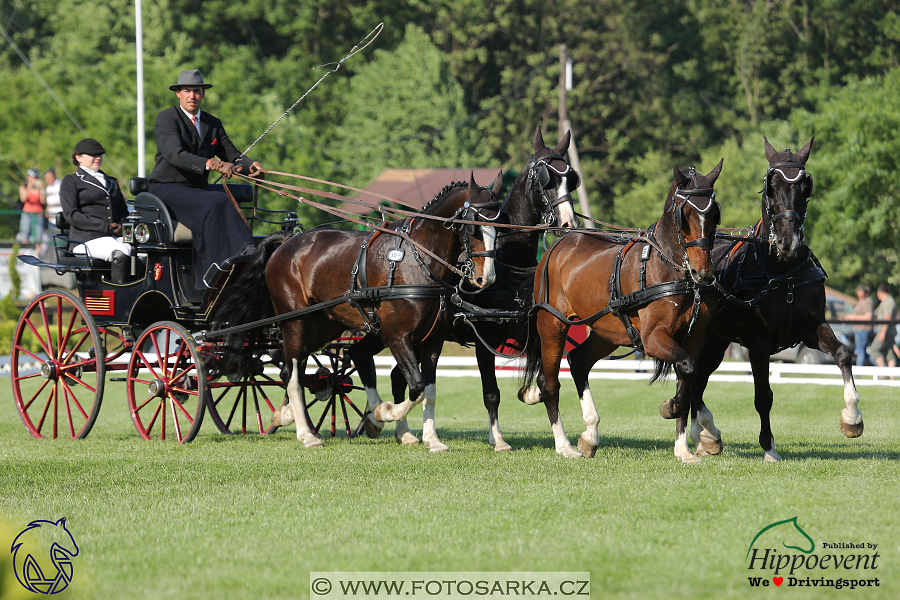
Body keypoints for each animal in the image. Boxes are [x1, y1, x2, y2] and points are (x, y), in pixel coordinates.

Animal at [213, 173, 500, 450]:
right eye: (473, 225)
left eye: (500, 226)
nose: (486, 278)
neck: (417, 261)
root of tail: (286, 242)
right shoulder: (396, 336)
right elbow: (416, 387)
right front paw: (382, 414)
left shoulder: (433, 340)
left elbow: (428, 391)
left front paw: (432, 440)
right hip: (295, 322)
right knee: (293, 376)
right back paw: (307, 435)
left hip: (324, 326)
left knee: (292, 368)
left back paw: (286, 415)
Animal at [516, 159, 720, 460]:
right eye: (685, 215)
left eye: (715, 214)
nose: (702, 272)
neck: (670, 269)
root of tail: (559, 244)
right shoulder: (653, 338)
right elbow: (686, 369)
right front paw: (670, 408)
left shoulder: (694, 338)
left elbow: (688, 375)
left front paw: (682, 448)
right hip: (552, 324)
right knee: (549, 383)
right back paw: (564, 445)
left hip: (607, 332)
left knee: (578, 360)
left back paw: (589, 435)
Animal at [688, 138, 864, 462]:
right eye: (771, 186)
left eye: (806, 186)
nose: (788, 242)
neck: (782, 272)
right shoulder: (758, 343)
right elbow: (763, 396)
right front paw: (769, 447)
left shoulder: (811, 327)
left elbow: (843, 354)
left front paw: (852, 417)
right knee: (693, 377)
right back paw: (707, 432)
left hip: (717, 342)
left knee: (699, 378)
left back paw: (703, 436)